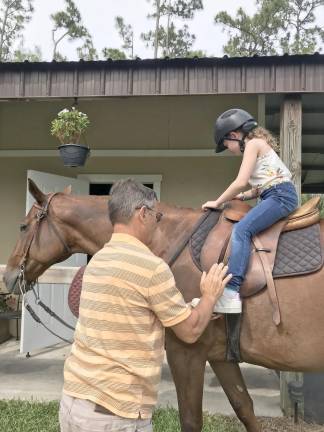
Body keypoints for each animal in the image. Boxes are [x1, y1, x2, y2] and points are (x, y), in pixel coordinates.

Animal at [3, 180, 324, 432]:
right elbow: (244, 407)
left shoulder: (187, 352)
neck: (168, 238)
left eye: (23, 226)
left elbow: (191, 420)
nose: (8, 278)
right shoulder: (220, 356)